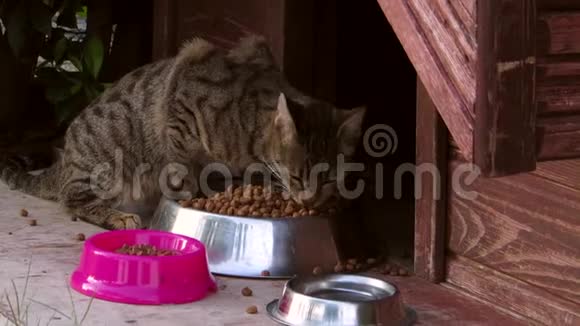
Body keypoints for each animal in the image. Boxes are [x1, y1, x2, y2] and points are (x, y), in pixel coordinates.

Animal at [0, 36, 364, 229]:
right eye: (298, 176)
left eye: (330, 179)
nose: (310, 200)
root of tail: (65, 160)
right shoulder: (182, 101)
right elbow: (179, 164)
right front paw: (187, 193)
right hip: (108, 162)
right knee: (73, 201)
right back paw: (119, 216)